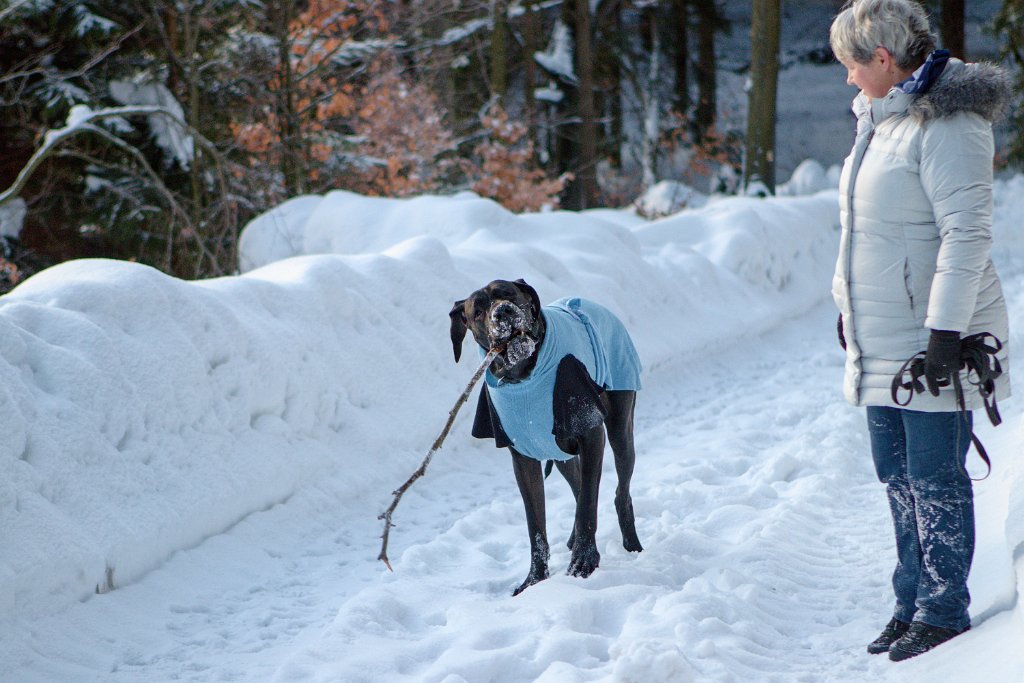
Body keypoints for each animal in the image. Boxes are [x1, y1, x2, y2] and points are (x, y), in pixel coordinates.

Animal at [448, 278, 638, 593]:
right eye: (478, 311)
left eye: (508, 293)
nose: (503, 313)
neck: (524, 374)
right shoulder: (523, 459)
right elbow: (535, 525)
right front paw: (535, 580)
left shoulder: (591, 434)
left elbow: (588, 505)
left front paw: (584, 561)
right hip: (558, 452)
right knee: (577, 485)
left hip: (620, 428)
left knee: (619, 492)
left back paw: (632, 544)